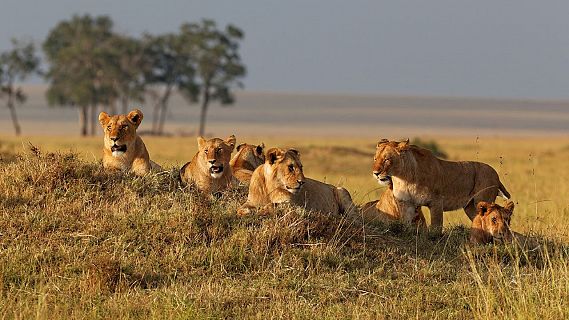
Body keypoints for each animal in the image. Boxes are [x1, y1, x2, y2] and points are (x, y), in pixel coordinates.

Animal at [372, 139, 510, 231]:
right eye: (375, 159)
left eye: (387, 159)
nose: (376, 173)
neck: (404, 179)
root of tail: (495, 173)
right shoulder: (406, 204)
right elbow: (406, 224)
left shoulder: (436, 202)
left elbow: (436, 227)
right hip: (470, 207)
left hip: (482, 201)